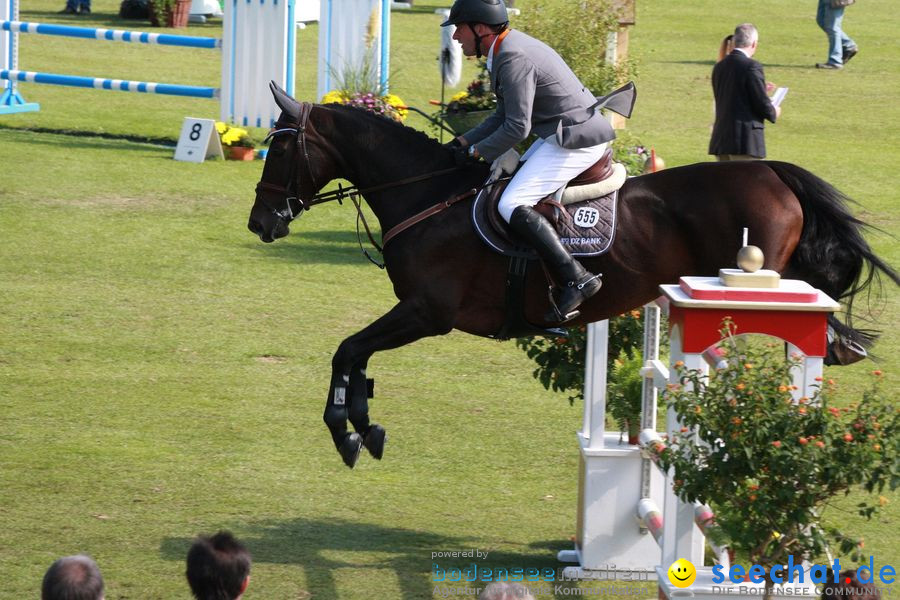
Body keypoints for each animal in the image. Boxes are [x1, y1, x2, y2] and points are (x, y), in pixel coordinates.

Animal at [250, 84, 896, 468]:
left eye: (278, 151)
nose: (261, 222)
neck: (427, 195)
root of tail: (771, 173)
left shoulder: (427, 313)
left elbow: (347, 349)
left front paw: (346, 429)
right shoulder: (417, 314)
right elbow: (355, 357)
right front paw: (363, 424)